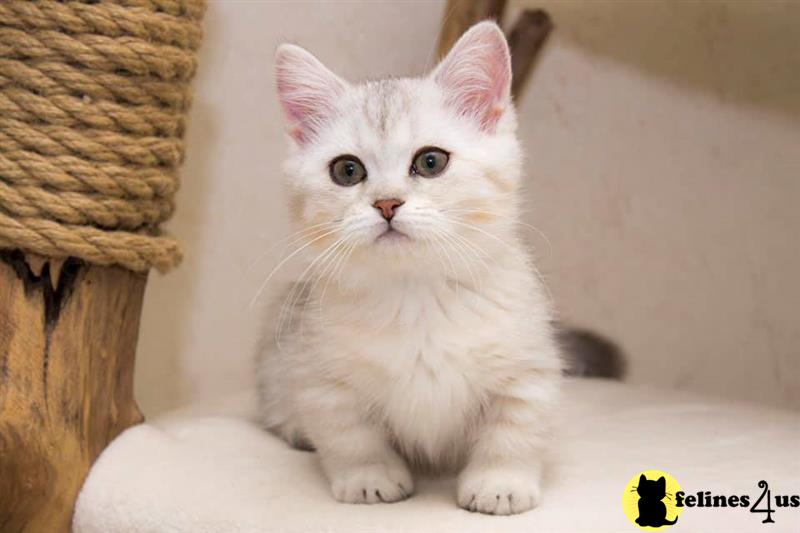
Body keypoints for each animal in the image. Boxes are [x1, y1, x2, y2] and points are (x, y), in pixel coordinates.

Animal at [260, 21, 560, 516]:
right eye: (347, 171)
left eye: (431, 161)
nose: (387, 203)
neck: (416, 295)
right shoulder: (321, 375)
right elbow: (350, 435)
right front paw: (370, 478)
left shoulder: (526, 364)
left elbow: (515, 429)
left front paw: (500, 484)